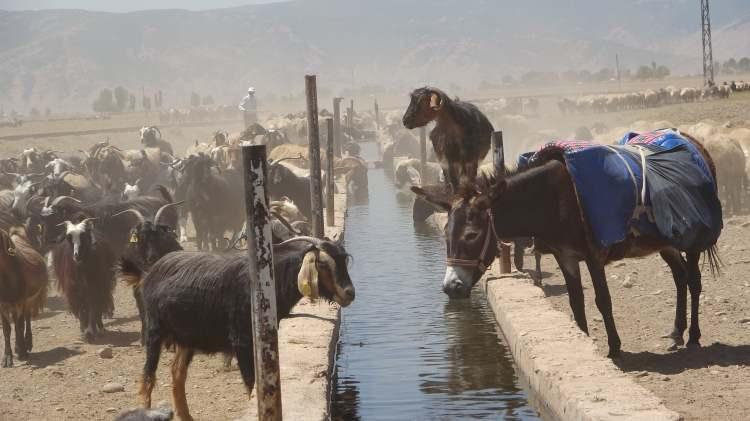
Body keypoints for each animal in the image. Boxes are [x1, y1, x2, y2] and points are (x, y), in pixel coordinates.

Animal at [0, 226, 48, 368]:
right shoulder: (2, 305)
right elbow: (7, 329)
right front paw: (7, 357)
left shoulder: (20, 302)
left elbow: (19, 325)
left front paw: (22, 352)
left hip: (30, 300)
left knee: (26, 319)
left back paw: (27, 343)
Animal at [138, 236, 356, 420]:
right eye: (322, 263)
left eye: (344, 259)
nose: (349, 293)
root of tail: (154, 269)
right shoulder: (241, 341)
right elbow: (252, 383)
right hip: (154, 330)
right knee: (149, 375)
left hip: (186, 338)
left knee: (177, 373)